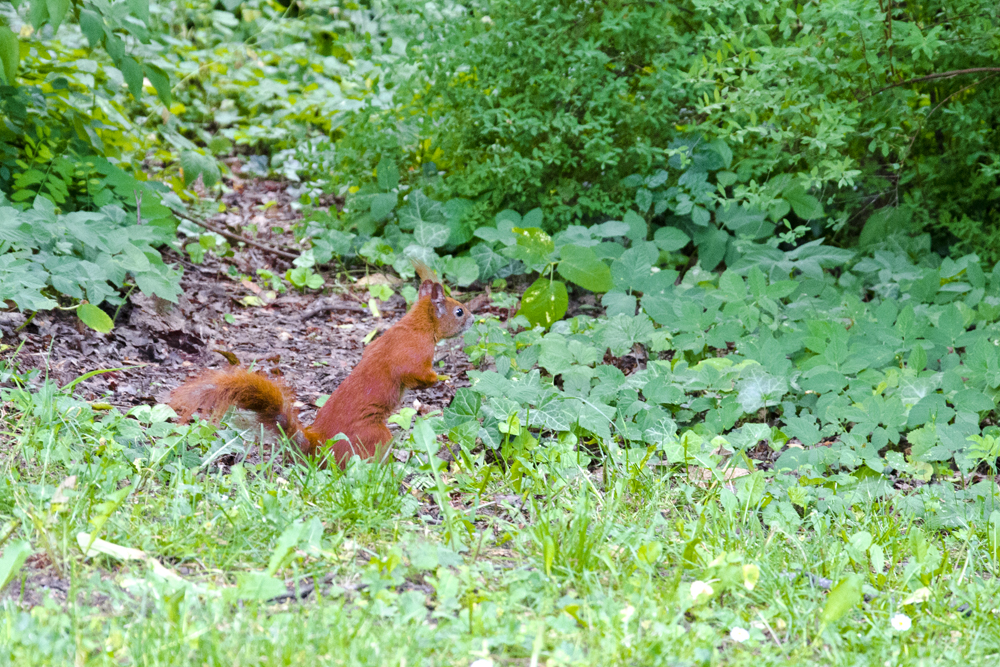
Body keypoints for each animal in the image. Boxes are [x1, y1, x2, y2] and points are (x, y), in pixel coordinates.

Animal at [169, 263, 473, 467]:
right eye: (459, 311)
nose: (473, 319)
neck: (418, 325)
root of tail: (318, 445)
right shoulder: (413, 354)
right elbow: (416, 374)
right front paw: (441, 380)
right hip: (374, 435)